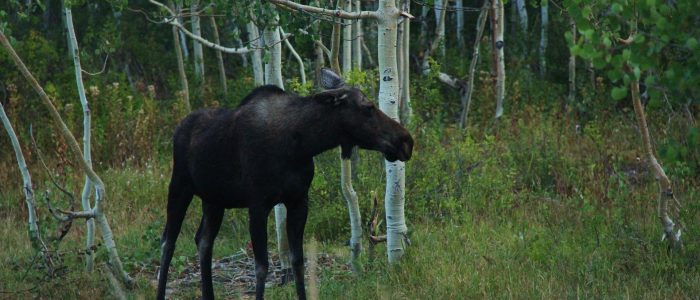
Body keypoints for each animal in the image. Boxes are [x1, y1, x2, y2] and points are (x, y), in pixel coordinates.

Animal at [156, 68, 412, 300]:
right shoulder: (258, 205)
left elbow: (297, 261)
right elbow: (262, 266)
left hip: (214, 200)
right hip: (179, 185)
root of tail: (178, 127)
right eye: (367, 107)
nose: (406, 141)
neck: (301, 145)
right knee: (168, 241)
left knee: (203, 240)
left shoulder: (298, 201)